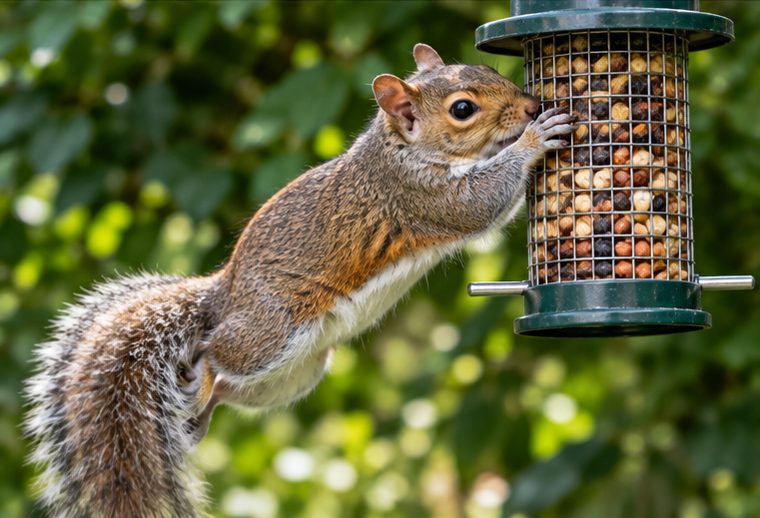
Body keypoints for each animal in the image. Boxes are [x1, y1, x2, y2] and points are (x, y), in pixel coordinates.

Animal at [24, 43, 574, 517]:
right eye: (463, 109)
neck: (402, 149)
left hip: (296, 373)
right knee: (214, 355)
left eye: (489, 71)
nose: (531, 106)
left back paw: (196, 416)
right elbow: (482, 203)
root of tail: (223, 296)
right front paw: (535, 139)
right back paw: (201, 378)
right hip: (270, 331)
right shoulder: (419, 196)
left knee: (228, 387)